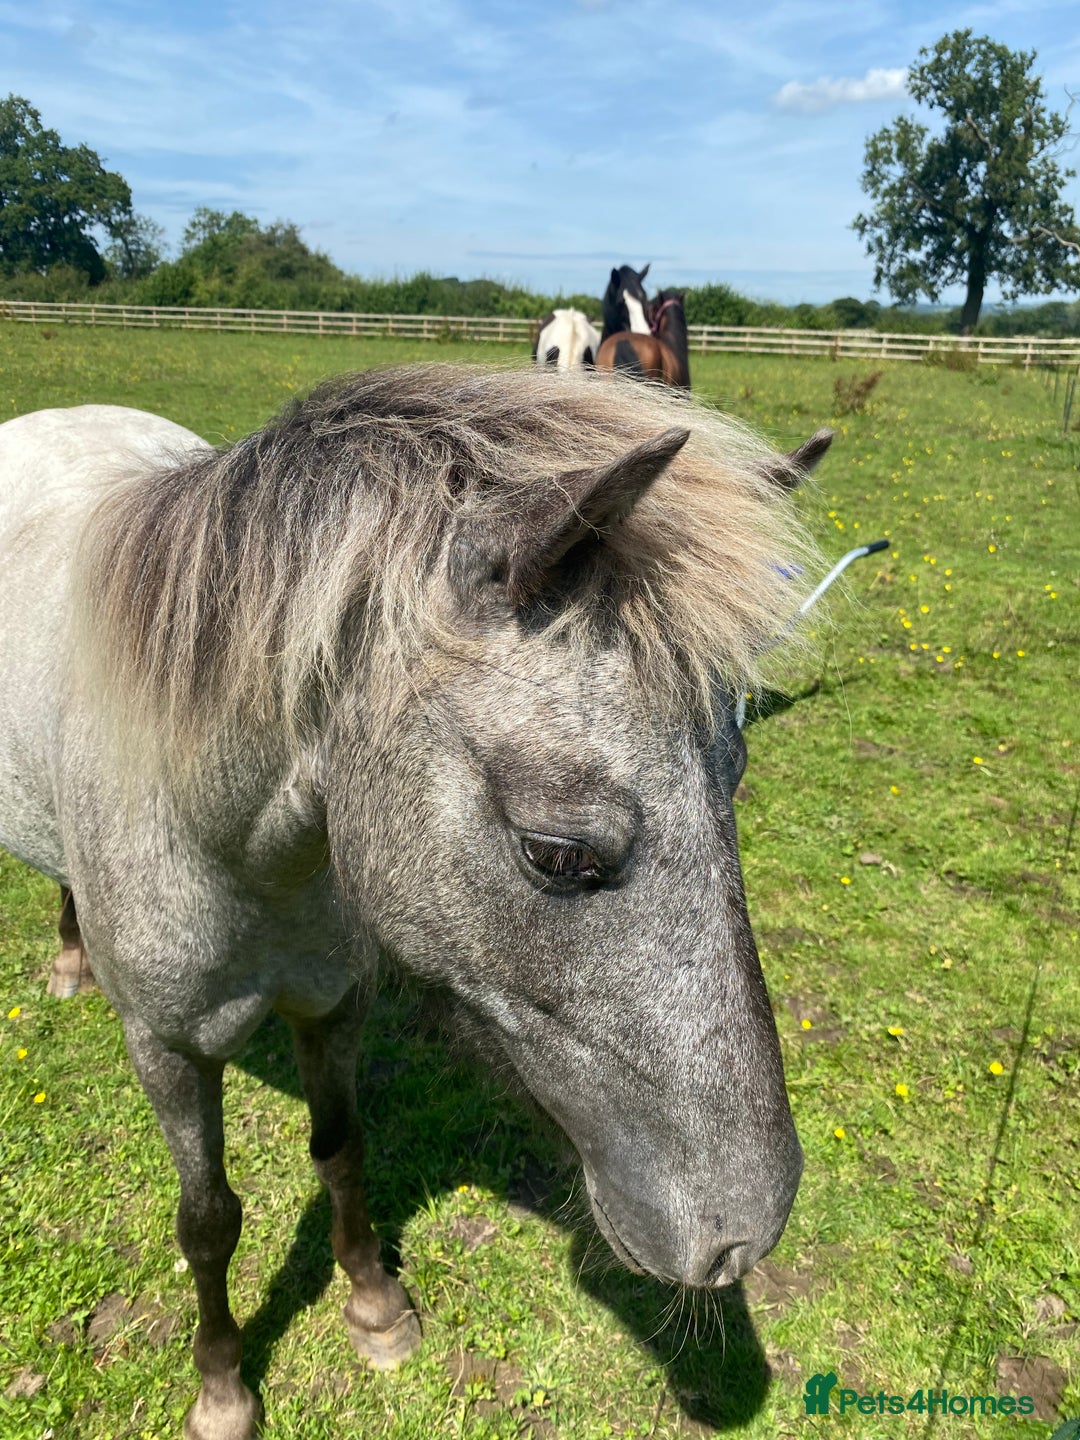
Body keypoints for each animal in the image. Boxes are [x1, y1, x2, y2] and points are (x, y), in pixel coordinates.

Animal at [0, 367, 831, 1439]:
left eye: (740, 776)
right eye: (556, 854)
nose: (746, 1232)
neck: (237, 847)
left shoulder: (332, 1007)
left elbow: (342, 1151)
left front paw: (376, 1309)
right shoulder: (168, 1050)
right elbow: (209, 1220)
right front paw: (222, 1387)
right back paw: (71, 960)